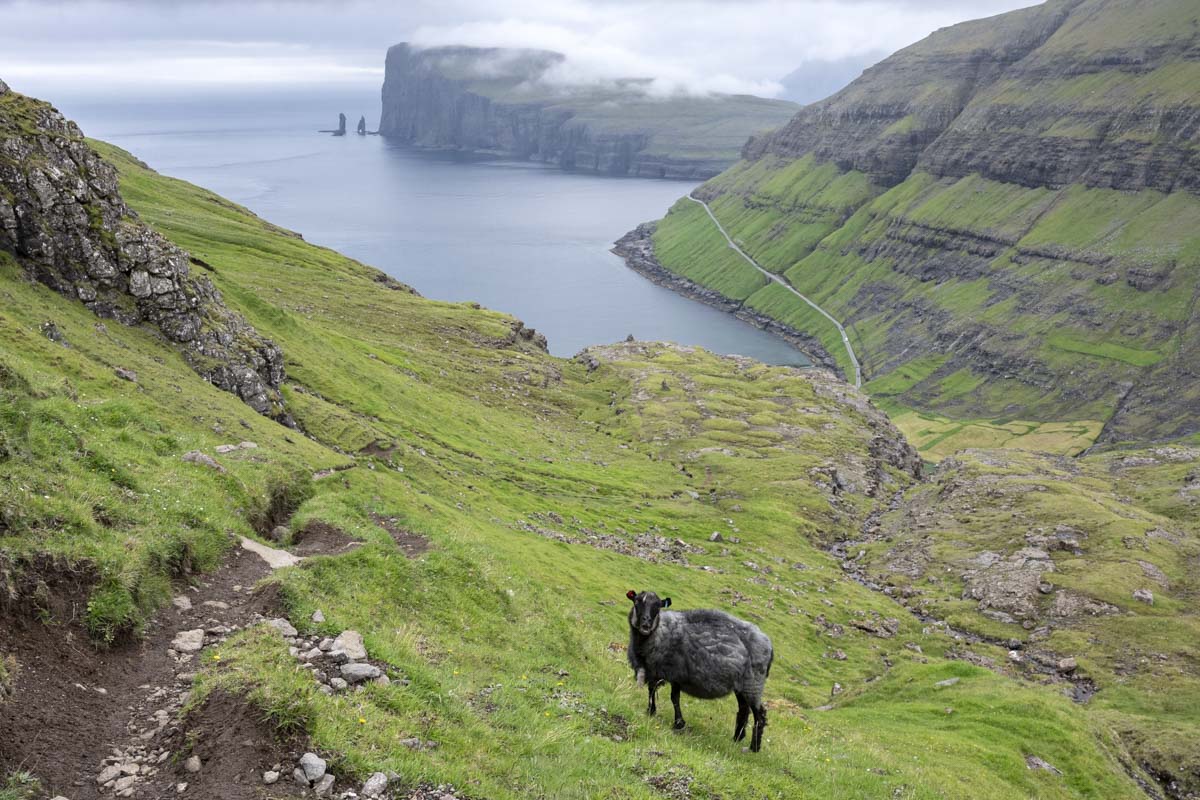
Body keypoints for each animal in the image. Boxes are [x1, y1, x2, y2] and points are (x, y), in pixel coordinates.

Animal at [625, 589, 774, 752]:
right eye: (637, 601)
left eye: (657, 607)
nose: (646, 623)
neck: (658, 634)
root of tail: (769, 645)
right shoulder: (659, 672)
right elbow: (655, 692)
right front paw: (655, 713)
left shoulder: (673, 673)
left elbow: (672, 698)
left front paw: (676, 723)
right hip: (741, 686)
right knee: (744, 710)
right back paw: (736, 738)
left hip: (753, 683)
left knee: (760, 714)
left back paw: (754, 747)